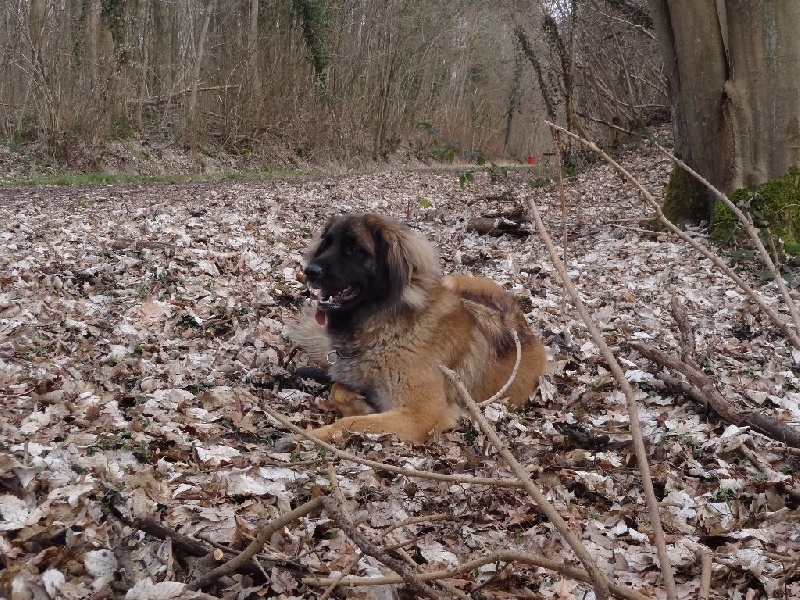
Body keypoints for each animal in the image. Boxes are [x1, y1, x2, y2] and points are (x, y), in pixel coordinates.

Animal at [290, 213, 548, 442]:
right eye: (326, 244)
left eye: (353, 248)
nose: (309, 271)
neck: (390, 331)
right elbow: (337, 389)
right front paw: (359, 405)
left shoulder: (420, 415)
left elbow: (350, 423)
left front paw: (311, 436)